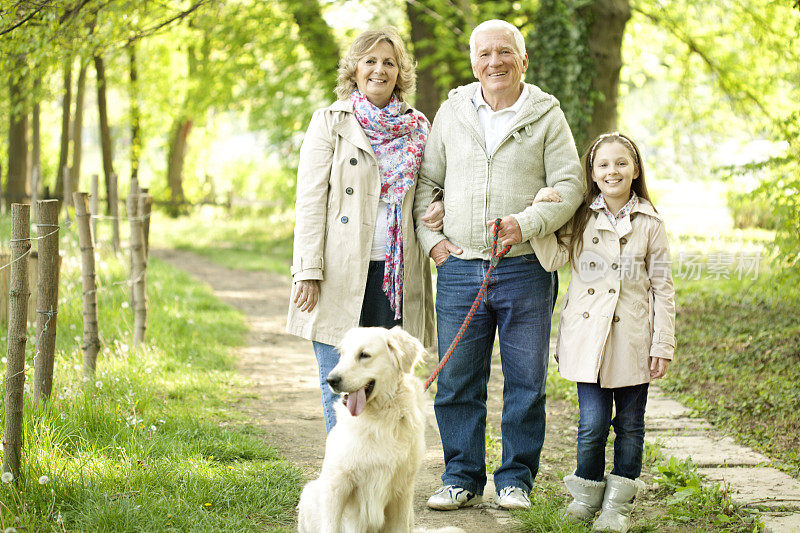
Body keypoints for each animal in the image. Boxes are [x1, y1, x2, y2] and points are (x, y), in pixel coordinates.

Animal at [296, 324, 428, 532]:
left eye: (364, 355)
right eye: (342, 354)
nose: (331, 380)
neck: (379, 419)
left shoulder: (402, 490)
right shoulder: (337, 483)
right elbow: (331, 525)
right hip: (310, 492)